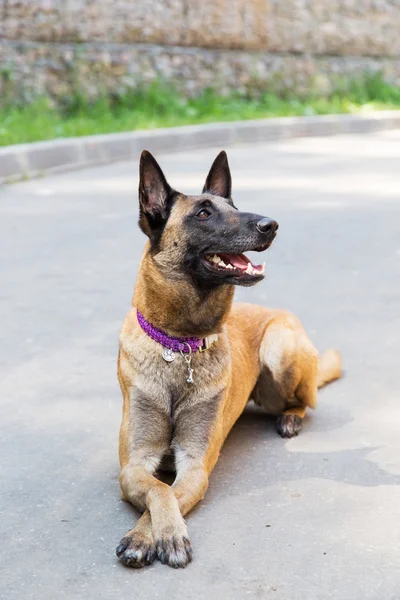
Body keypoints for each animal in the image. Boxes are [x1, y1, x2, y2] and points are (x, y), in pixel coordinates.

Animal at [115, 148, 340, 568]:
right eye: (203, 213)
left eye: (233, 207)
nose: (271, 225)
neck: (180, 347)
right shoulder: (134, 465)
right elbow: (156, 489)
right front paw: (148, 536)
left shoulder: (195, 466)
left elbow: (167, 493)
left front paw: (155, 535)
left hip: (279, 350)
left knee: (307, 399)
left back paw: (291, 417)